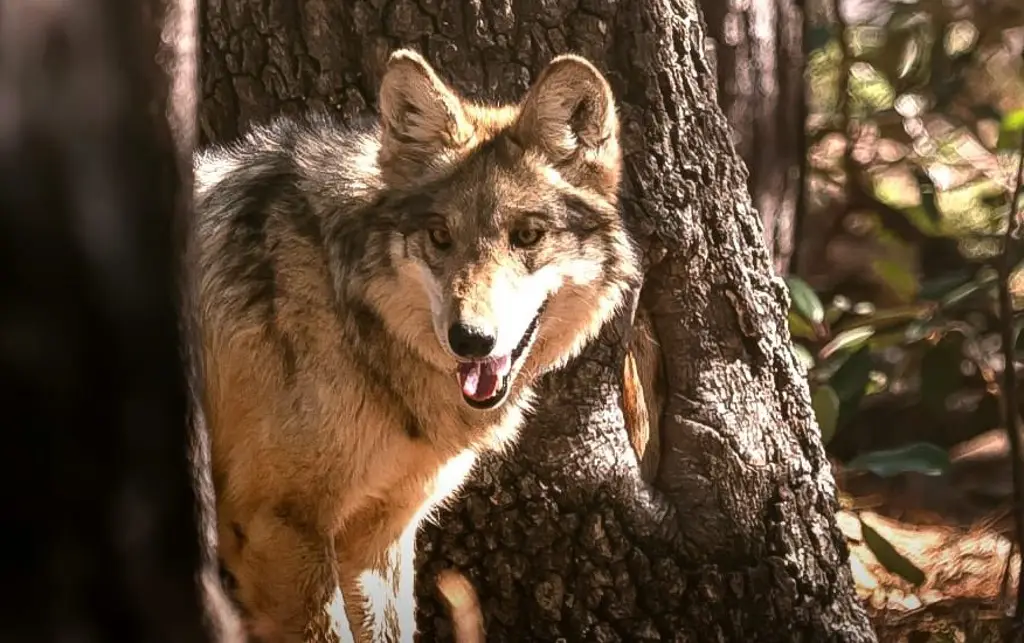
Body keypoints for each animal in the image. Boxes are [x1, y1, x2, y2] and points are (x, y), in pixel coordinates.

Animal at [192, 48, 641, 642]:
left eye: (526, 235)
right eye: (440, 236)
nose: (470, 339)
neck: (344, 305)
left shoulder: (378, 540)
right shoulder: (281, 525)